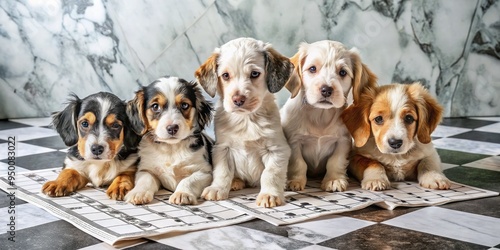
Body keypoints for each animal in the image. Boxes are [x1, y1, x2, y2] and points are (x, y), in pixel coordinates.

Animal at [124, 76, 214, 205]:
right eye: (155, 106)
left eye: (184, 105)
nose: (172, 128)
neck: (171, 148)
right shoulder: (146, 169)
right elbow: (145, 180)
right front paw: (138, 193)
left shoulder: (204, 172)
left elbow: (189, 180)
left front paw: (182, 194)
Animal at [194, 37, 292, 208]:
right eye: (225, 75)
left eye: (254, 74)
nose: (238, 100)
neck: (246, 120)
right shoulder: (222, 149)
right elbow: (222, 171)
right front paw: (217, 188)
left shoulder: (277, 150)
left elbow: (271, 174)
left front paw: (269, 194)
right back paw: (235, 182)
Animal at [282, 40, 376, 191]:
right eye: (312, 69)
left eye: (342, 72)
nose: (326, 90)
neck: (320, 115)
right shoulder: (294, 141)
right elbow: (298, 163)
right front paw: (295, 181)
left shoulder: (343, 142)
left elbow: (335, 161)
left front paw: (334, 180)